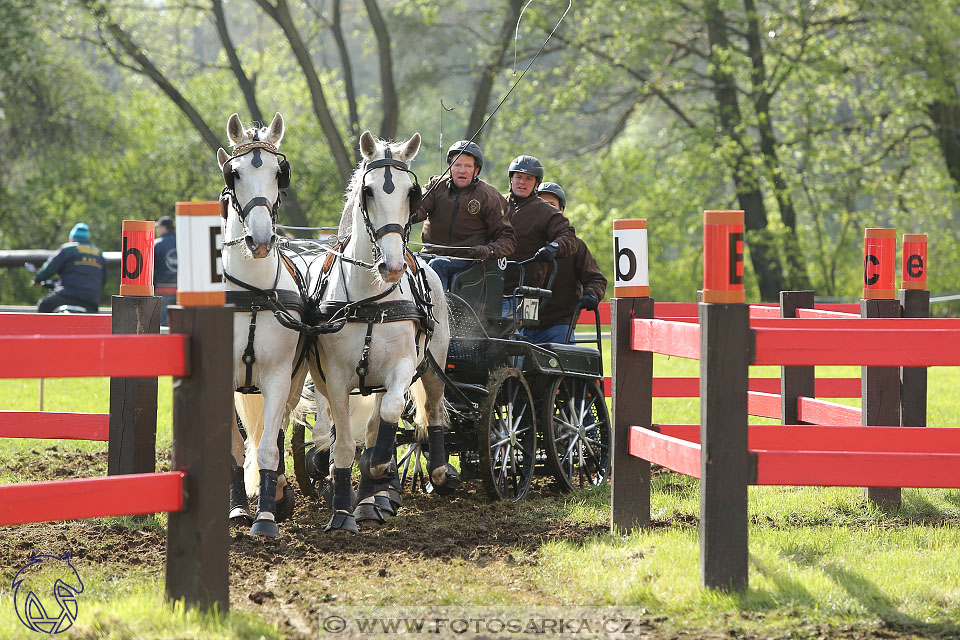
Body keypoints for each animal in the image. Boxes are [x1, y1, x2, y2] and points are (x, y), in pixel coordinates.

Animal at [308, 131, 458, 536]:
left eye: (411, 192)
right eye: (369, 191)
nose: (392, 266)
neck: (369, 298)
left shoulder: (402, 367)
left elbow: (388, 418)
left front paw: (378, 474)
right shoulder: (336, 378)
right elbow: (344, 444)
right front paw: (342, 512)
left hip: (433, 365)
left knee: (430, 412)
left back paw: (430, 474)